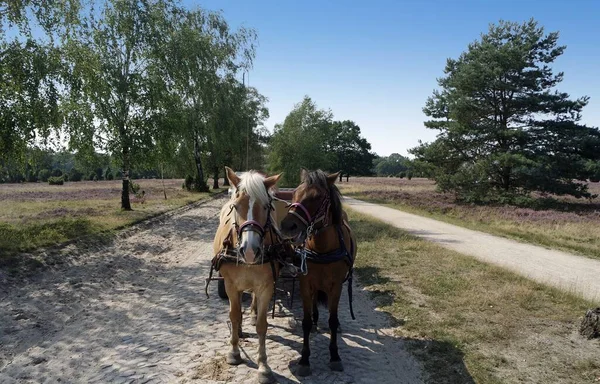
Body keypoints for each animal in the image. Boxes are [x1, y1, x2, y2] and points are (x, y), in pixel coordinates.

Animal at [213, 166, 284, 382]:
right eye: (236, 207)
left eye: (267, 207)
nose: (251, 250)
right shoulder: (230, 284)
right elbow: (234, 315)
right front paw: (234, 352)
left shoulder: (266, 285)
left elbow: (262, 325)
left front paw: (263, 366)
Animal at [280, 170, 358, 376]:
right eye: (294, 193)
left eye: (316, 197)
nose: (287, 226)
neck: (322, 248)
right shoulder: (306, 283)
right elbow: (306, 322)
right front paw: (304, 360)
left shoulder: (336, 286)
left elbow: (332, 319)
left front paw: (335, 356)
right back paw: (315, 321)